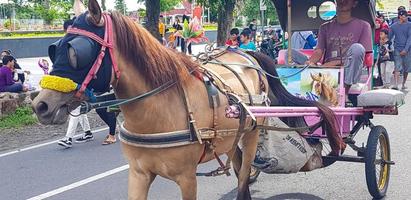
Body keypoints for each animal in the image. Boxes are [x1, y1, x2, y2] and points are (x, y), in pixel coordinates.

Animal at [30, 0, 344, 198]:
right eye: (54, 48)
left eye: (75, 51)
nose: (40, 104)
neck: (157, 110)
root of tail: (246, 54)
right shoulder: (138, 174)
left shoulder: (187, 177)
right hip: (233, 136)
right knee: (238, 166)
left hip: (253, 133)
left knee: (244, 176)